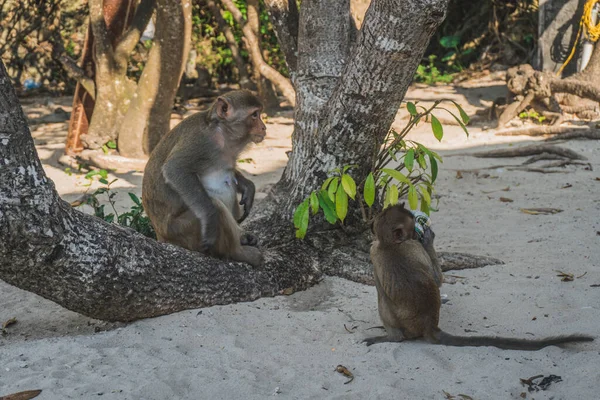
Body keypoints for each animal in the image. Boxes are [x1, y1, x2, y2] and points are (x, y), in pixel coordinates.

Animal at [143, 89, 264, 268]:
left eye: (259, 114)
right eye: (255, 115)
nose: (264, 127)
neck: (222, 133)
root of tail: (161, 236)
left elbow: (231, 171)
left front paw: (248, 186)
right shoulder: (201, 141)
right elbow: (175, 168)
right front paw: (211, 219)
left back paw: (243, 237)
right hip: (182, 230)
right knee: (216, 205)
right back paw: (239, 252)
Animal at [364, 203, 592, 350]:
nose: (418, 233)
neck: (390, 244)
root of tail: (430, 326)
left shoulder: (378, 250)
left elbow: (437, 280)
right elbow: (437, 280)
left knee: (382, 295)